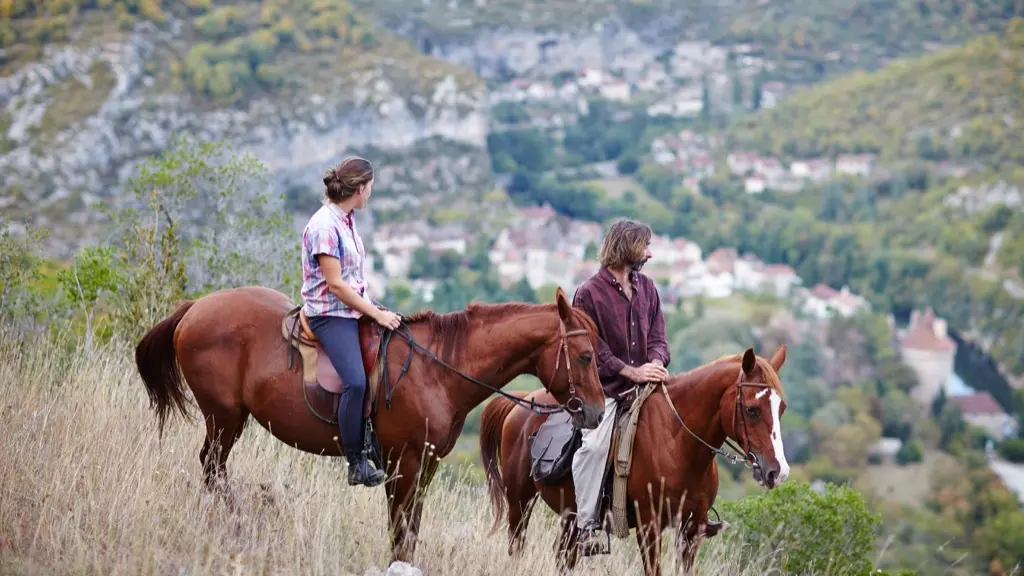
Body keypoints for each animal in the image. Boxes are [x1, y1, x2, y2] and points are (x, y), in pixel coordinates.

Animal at [131, 282, 602, 561]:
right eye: (585, 356)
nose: (596, 412)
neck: (438, 368)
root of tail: (194, 309)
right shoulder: (402, 461)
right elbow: (399, 529)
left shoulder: (425, 464)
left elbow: (410, 528)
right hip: (224, 418)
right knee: (213, 468)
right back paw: (236, 524)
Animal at [479, 342, 790, 569]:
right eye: (752, 409)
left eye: (782, 408)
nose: (778, 471)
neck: (677, 442)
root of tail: (521, 403)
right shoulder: (649, 526)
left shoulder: (691, 531)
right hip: (520, 503)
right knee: (517, 546)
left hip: (570, 517)